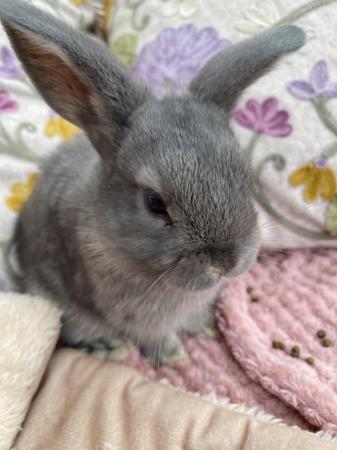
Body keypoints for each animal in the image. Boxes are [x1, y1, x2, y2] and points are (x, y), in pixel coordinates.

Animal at [0, 0, 304, 364]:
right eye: (154, 202)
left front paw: (202, 327)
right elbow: (154, 336)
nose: (225, 264)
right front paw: (174, 356)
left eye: (244, 177)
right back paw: (111, 348)